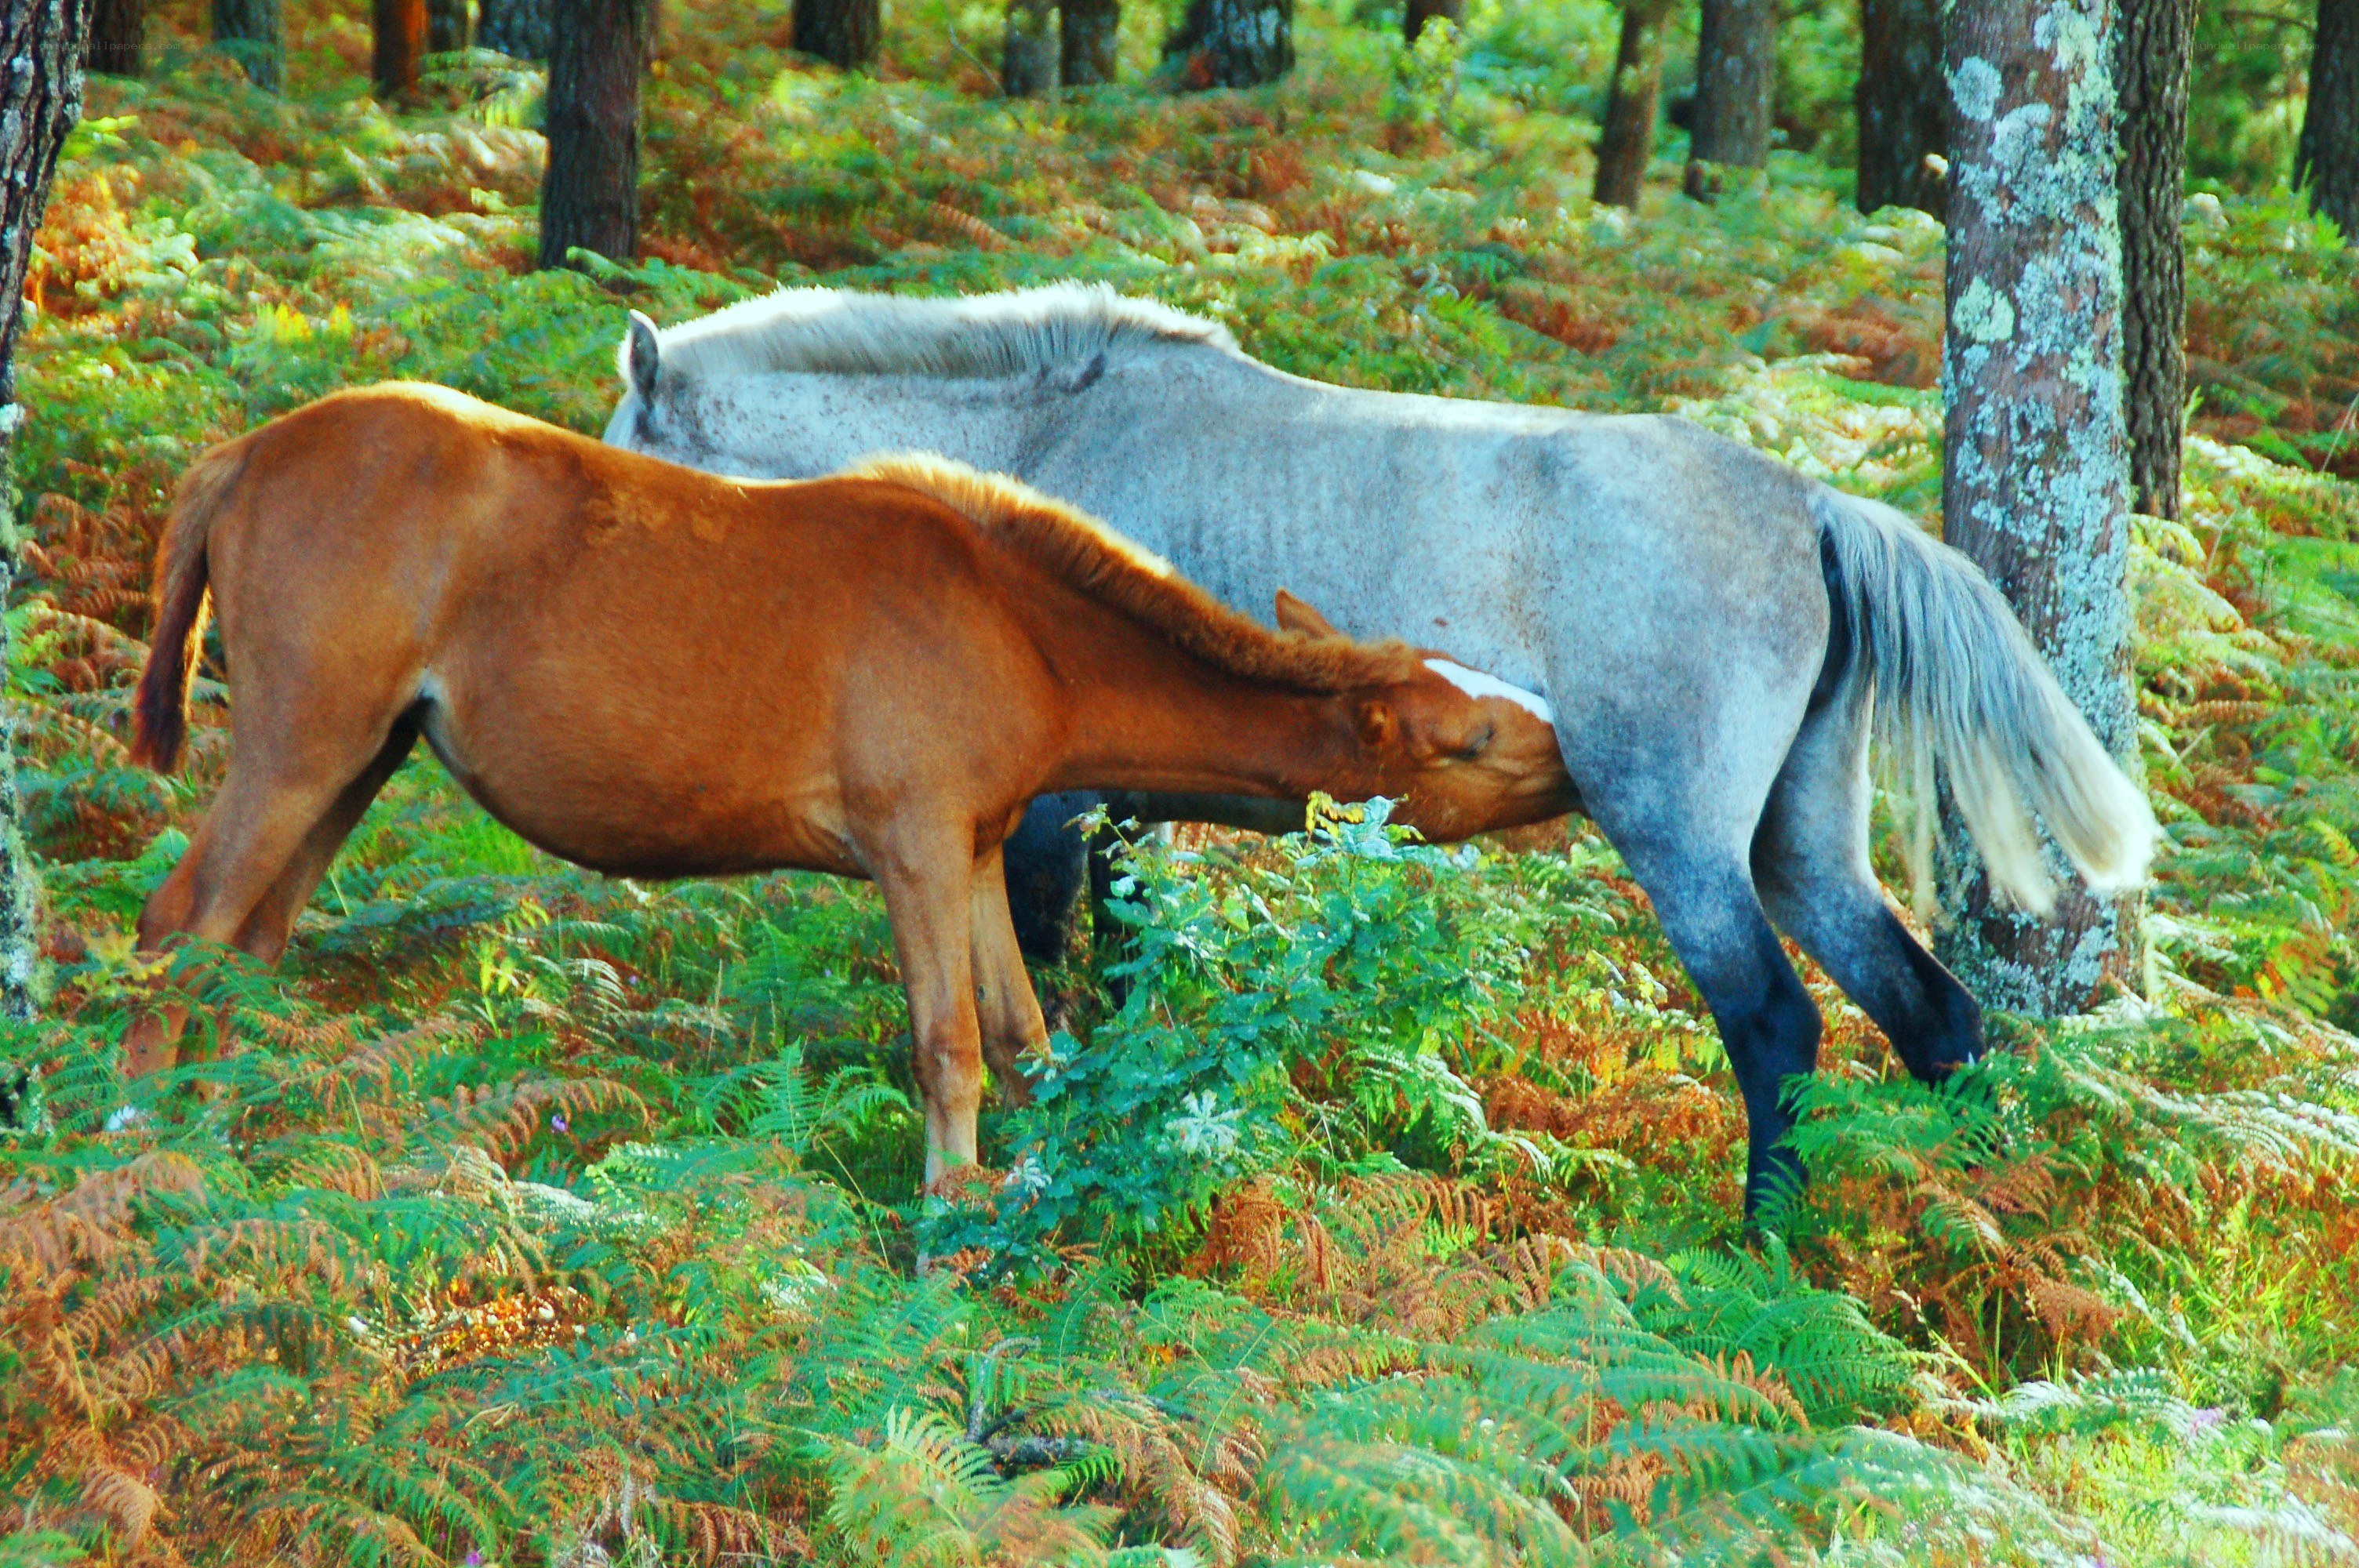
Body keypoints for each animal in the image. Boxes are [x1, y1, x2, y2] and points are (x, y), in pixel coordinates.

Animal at [122, 382, 1576, 1181]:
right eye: (1469, 739)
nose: (1583, 755)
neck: (1015, 625)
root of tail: (245, 456)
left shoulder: (975, 852)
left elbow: (1025, 1038)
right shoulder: (915, 847)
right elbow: (950, 1048)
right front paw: (948, 1224)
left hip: (359, 764)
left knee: (245, 951)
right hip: (301, 746)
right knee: (177, 929)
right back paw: (138, 1149)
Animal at [600, 281, 2161, 1212]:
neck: (1044, 459)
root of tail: (1807, 505)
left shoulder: (1054, 814)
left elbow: (1036, 982)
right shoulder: (1133, 815)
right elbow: (1123, 980)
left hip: (1680, 837)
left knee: (1775, 1023)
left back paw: (1760, 1242)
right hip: (1796, 839)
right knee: (1930, 1016)